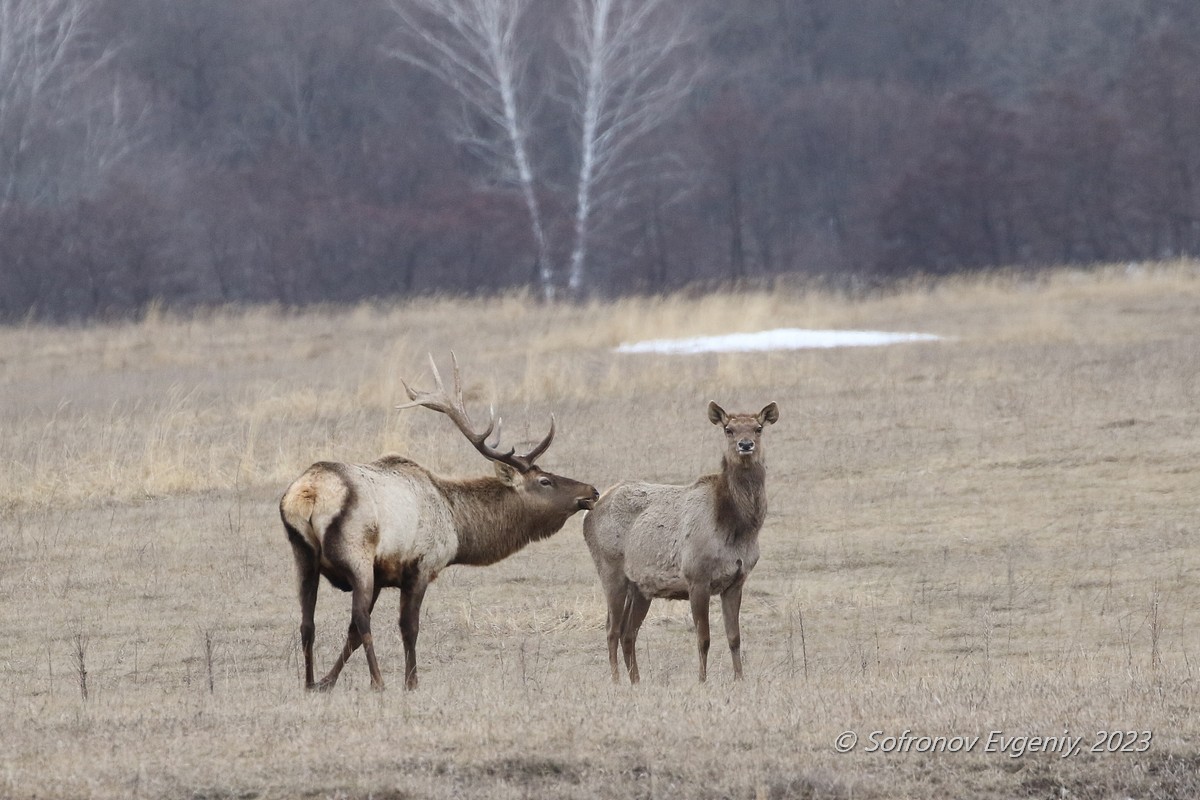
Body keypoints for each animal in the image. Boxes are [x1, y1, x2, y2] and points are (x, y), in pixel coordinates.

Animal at [282, 352, 600, 690]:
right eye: (545, 481)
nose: (591, 491)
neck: (456, 525)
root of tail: (308, 493)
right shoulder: (422, 564)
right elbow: (408, 627)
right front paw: (411, 682)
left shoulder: (382, 574)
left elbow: (351, 636)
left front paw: (326, 682)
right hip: (357, 554)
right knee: (360, 619)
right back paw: (378, 682)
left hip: (303, 556)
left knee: (307, 622)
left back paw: (308, 682)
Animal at [580, 402, 777, 686]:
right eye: (728, 429)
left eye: (758, 428)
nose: (746, 444)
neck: (738, 528)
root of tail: (588, 511)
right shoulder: (697, 577)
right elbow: (703, 638)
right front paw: (702, 680)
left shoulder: (736, 581)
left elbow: (734, 637)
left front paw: (740, 679)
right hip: (610, 570)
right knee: (612, 629)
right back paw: (617, 681)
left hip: (641, 587)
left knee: (628, 632)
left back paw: (636, 680)